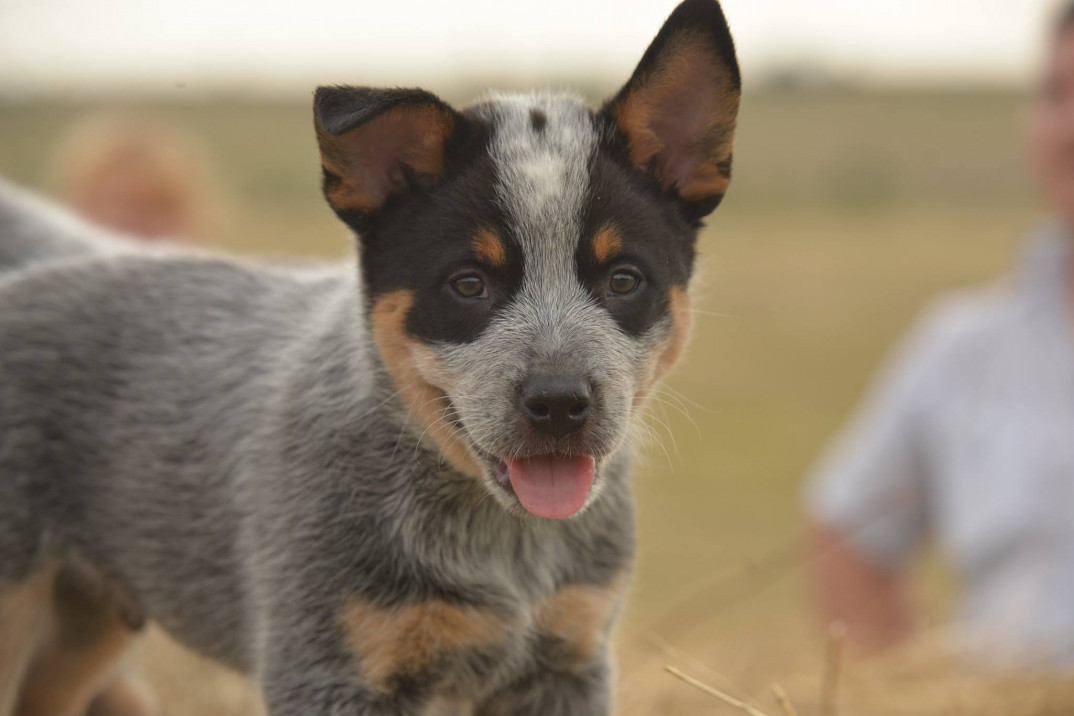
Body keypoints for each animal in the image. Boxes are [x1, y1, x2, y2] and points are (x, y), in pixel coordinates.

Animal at [0, 2, 738, 712]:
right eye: (468, 283)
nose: (559, 403)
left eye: (624, 280)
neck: (498, 542)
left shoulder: (566, 661)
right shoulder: (333, 669)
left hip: (83, 629)